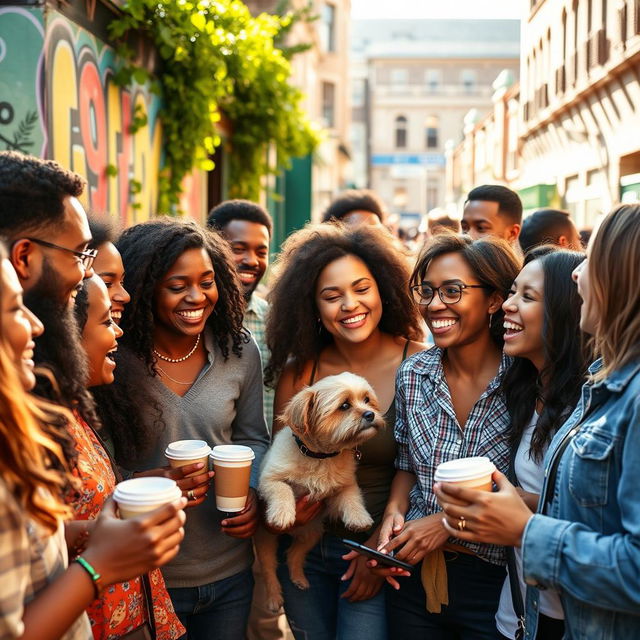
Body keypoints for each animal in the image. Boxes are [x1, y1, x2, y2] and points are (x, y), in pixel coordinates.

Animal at [255, 372, 384, 612]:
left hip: (312, 534)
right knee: (269, 569)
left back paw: (299, 579)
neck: (319, 457)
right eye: (344, 405)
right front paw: (283, 514)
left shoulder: (344, 486)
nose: (370, 414)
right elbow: (283, 490)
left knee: (294, 555)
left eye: (367, 400)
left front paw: (359, 519)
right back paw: (274, 598)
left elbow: (352, 499)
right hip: (266, 540)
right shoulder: (269, 480)